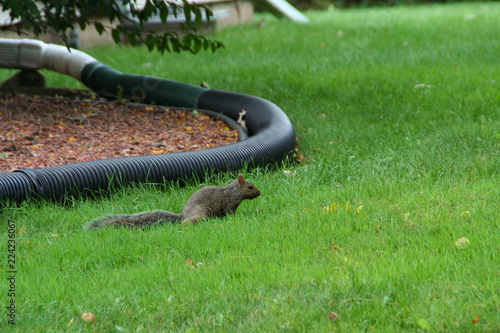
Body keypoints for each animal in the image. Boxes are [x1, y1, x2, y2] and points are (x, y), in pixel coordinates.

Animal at [86, 174, 260, 228]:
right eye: (250, 187)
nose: (259, 193)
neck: (233, 191)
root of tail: (182, 215)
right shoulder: (229, 203)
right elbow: (230, 213)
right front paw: (237, 219)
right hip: (200, 213)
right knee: (186, 223)